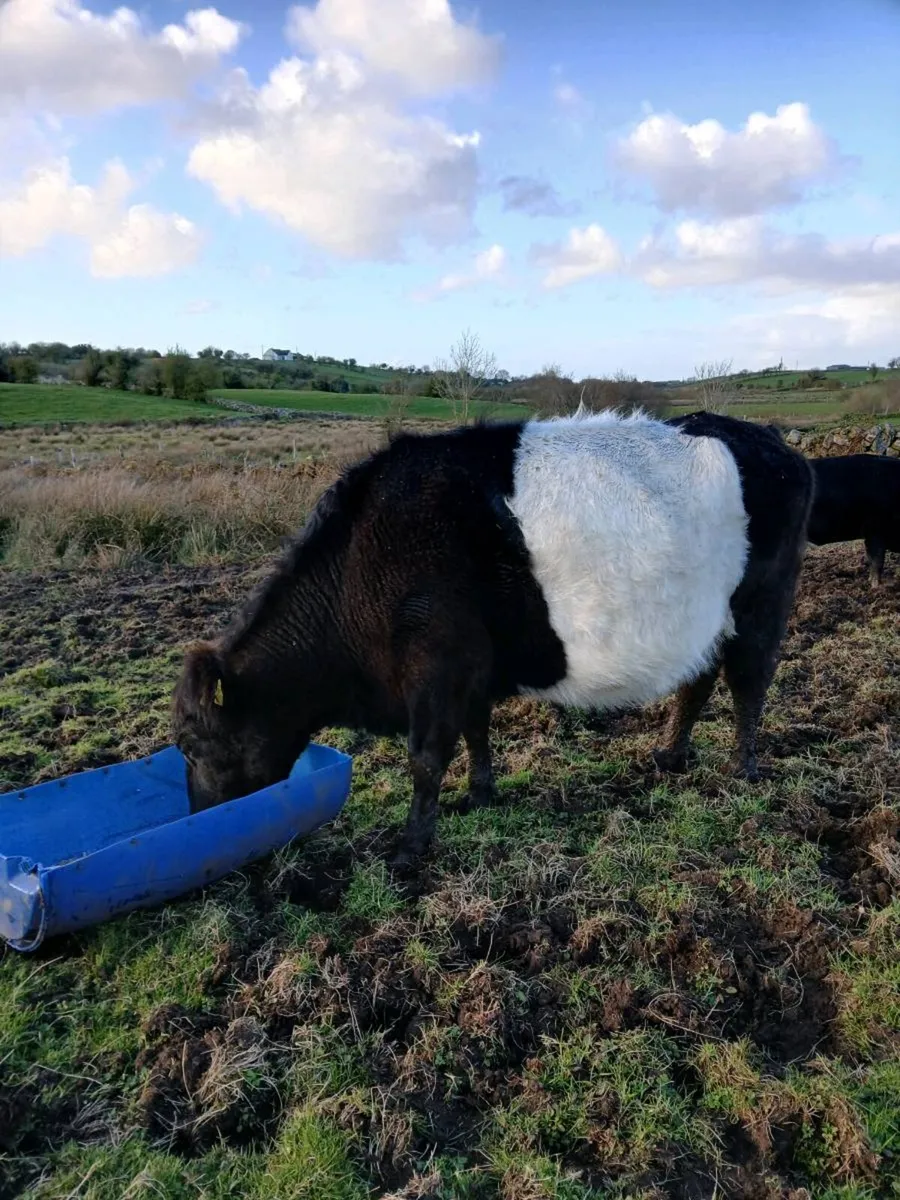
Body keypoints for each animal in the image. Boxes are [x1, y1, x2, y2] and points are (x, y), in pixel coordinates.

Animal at [171, 408, 814, 863]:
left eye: (191, 747)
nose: (197, 818)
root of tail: (775, 444)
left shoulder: (436, 665)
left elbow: (427, 756)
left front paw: (410, 850)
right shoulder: (468, 669)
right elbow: (475, 732)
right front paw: (479, 794)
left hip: (762, 606)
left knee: (749, 684)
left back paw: (742, 770)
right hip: (708, 621)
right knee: (697, 681)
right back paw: (671, 755)